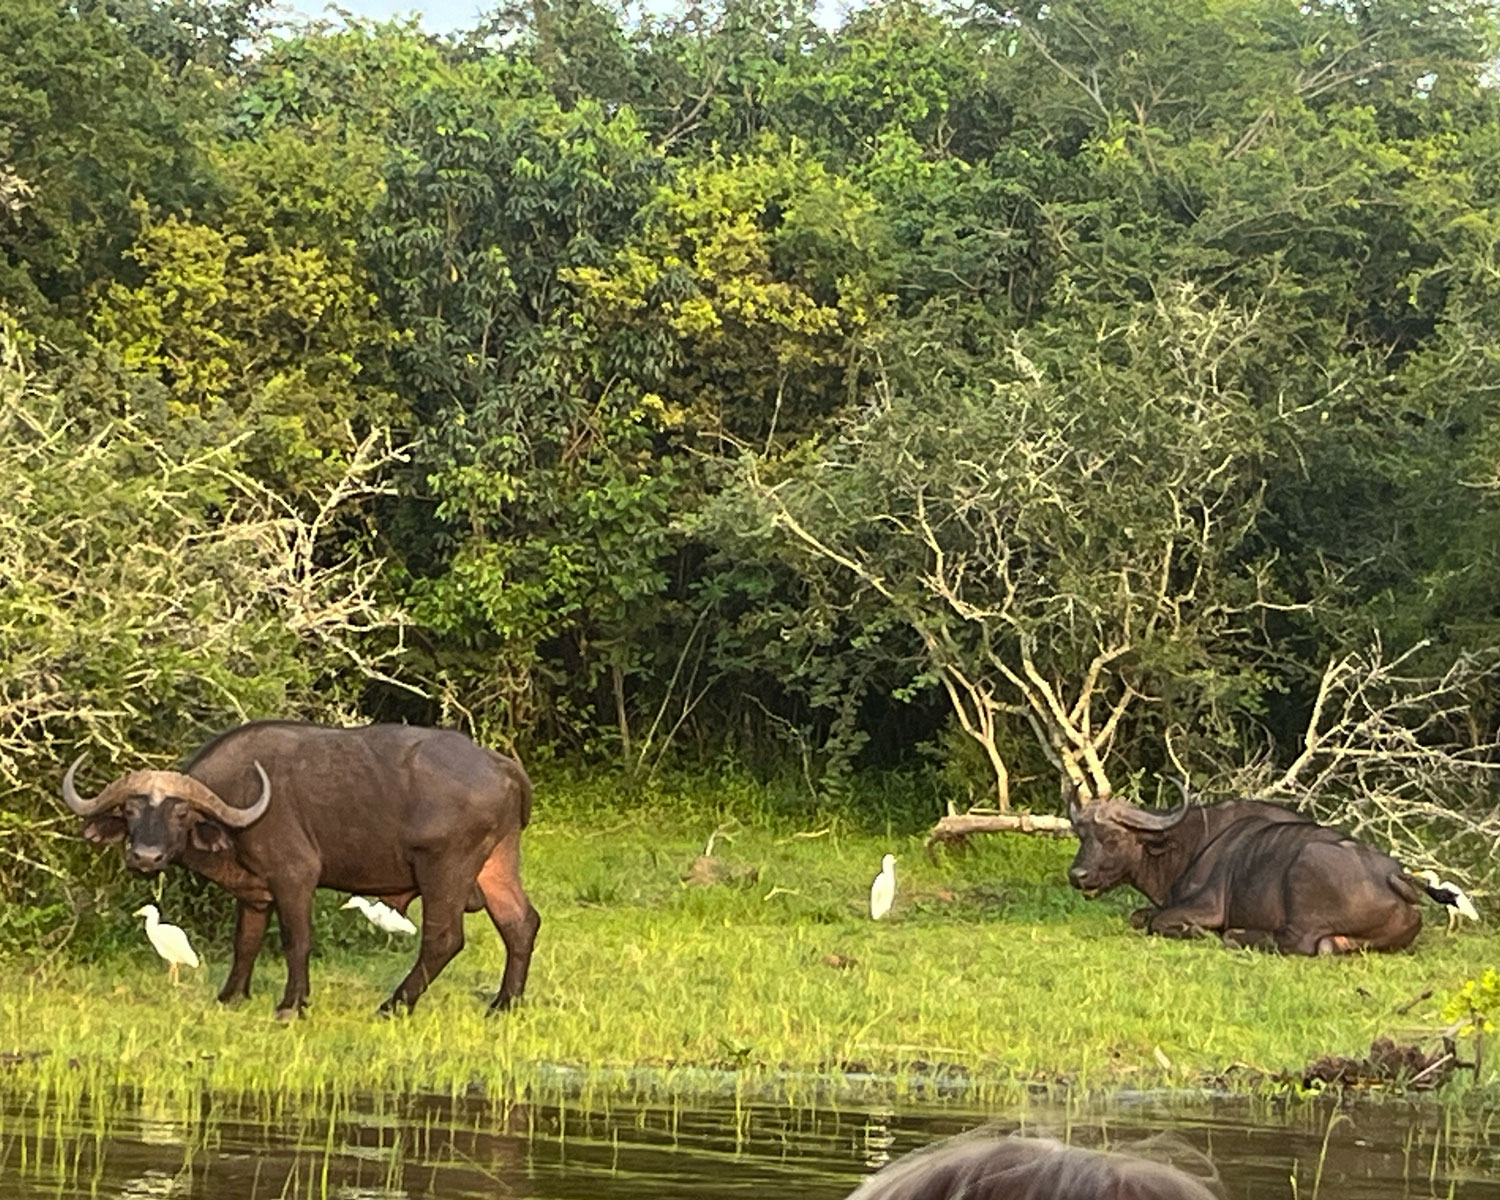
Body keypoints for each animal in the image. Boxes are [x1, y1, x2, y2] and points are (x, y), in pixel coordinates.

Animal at [63, 717, 540, 1020]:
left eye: (181, 813)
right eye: (129, 811)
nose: (145, 856)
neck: (239, 802)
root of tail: (500, 764)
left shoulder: (294, 878)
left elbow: (296, 941)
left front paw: (292, 1004)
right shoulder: (254, 893)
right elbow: (246, 943)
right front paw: (231, 996)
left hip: (444, 869)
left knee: (444, 939)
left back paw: (394, 1005)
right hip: (496, 866)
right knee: (521, 923)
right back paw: (504, 1005)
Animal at [1068, 786, 1452, 954]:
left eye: (1112, 837)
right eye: (1081, 834)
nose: (1077, 876)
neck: (1187, 844)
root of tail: (1393, 874)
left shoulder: (1206, 907)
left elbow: (1157, 921)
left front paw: (1199, 932)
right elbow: (1138, 916)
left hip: (1306, 868)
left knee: (1295, 942)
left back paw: (1235, 936)